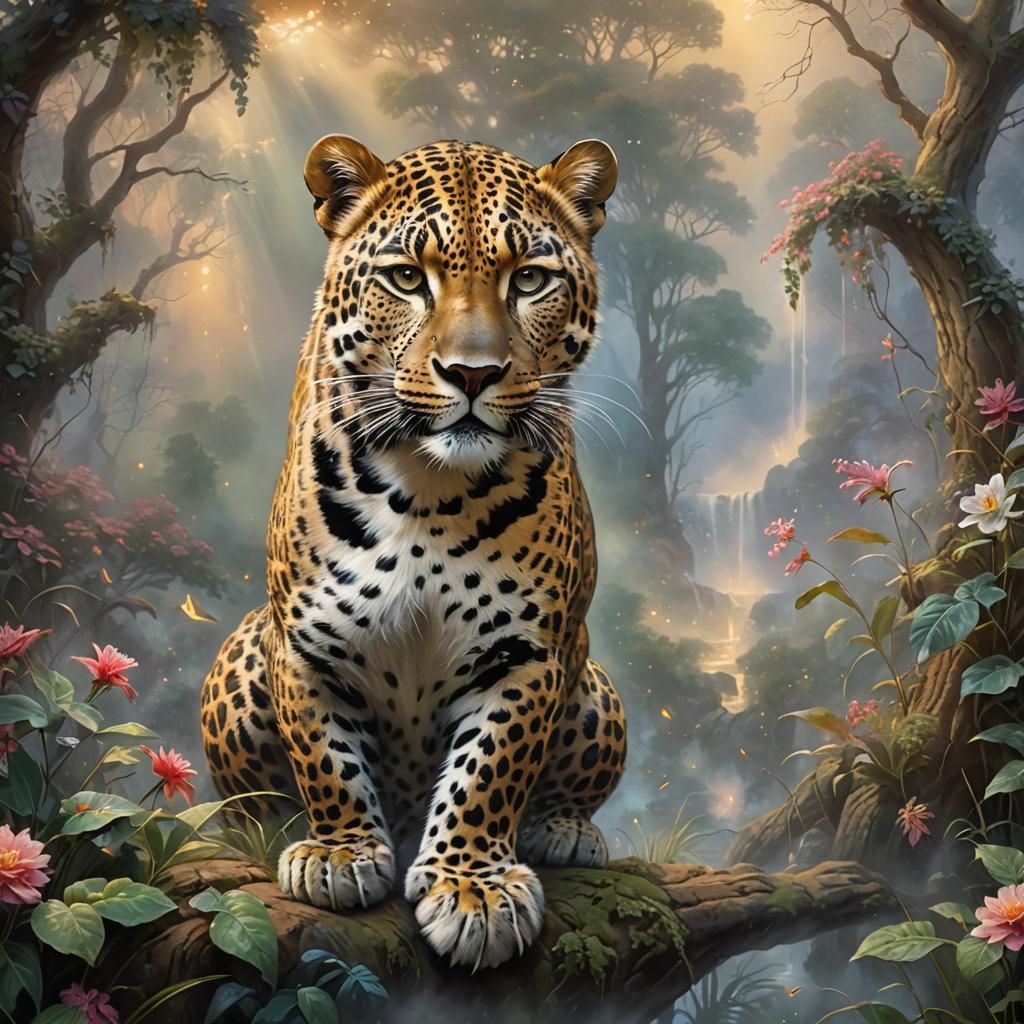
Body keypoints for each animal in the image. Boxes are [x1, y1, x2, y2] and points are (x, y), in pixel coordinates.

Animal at [199, 134, 628, 970]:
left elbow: (491, 768)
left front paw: (472, 887)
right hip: (241, 649)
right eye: (407, 278)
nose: (471, 374)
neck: (431, 491)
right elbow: (325, 757)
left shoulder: (528, 653)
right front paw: (338, 853)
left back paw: (565, 830)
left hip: (593, 679)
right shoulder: (303, 643)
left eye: (530, 279)